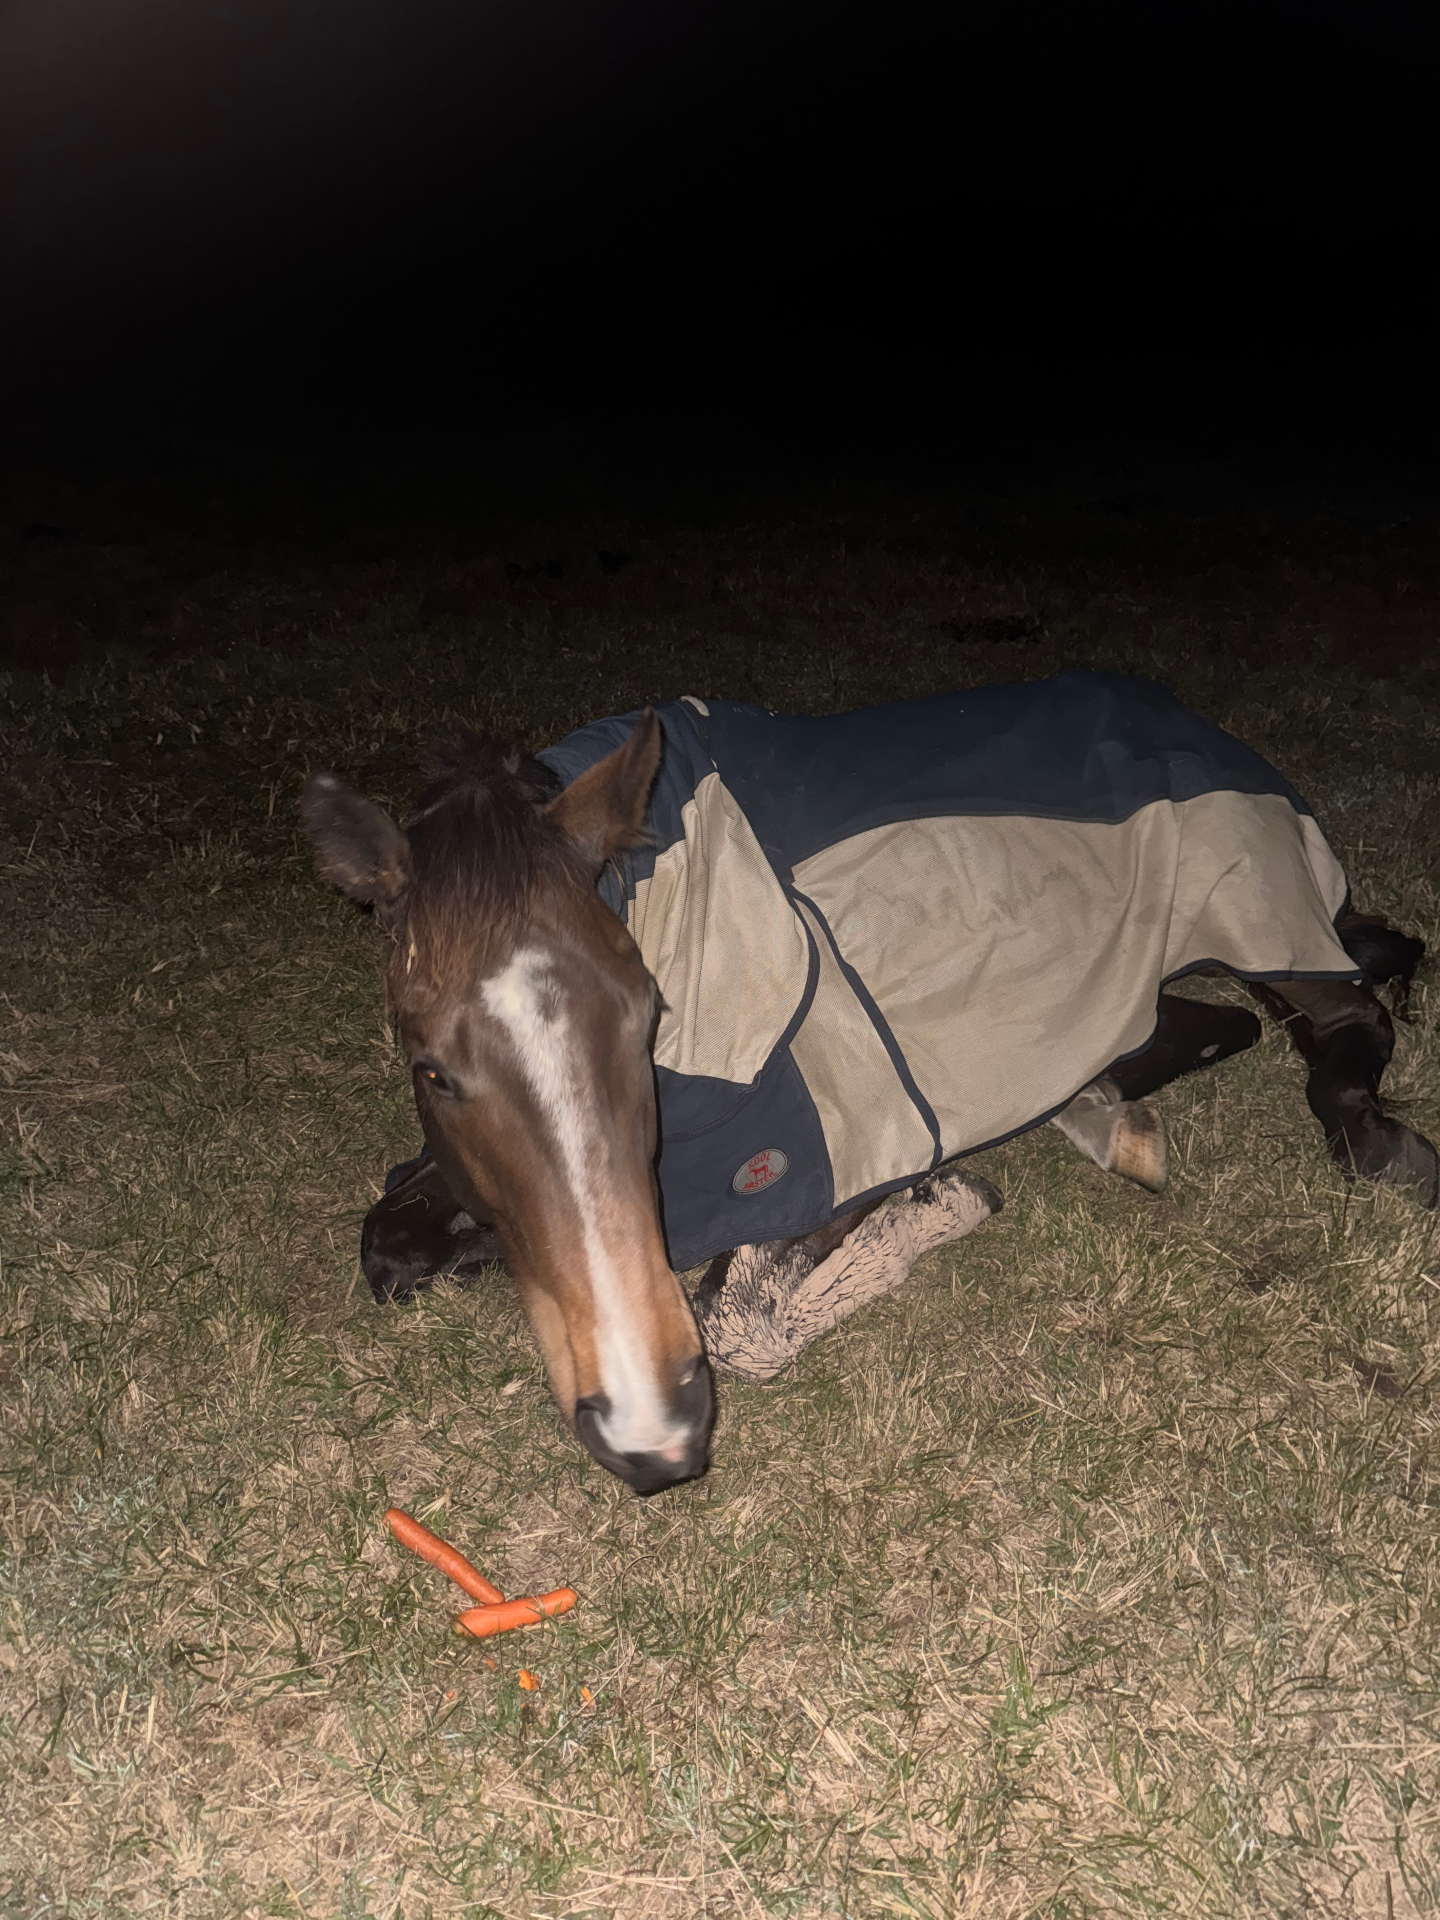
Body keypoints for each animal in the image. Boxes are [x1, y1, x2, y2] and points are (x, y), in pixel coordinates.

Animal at [302, 673, 1435, 1494]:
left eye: (646, 1015)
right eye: (431, 1068)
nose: (649, 1429)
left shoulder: (835, 1155)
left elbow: (741, 1321)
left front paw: (937, 1208)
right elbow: (389, 1247)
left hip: (1259, 916)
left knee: (1346, 1023)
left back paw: (1373, 1142)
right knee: (1215, 1024)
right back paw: (1098, 1110)